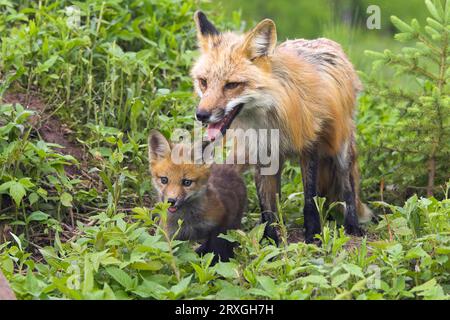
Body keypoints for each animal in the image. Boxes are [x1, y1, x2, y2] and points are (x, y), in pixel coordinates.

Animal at [191, 11, 372, 242]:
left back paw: (352, 225)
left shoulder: (310, 145)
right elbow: (267, 207)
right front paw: (271, 240)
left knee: (347, 187)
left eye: (231, 85)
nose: (201, 115)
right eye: (203, 82)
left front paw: (313, 236)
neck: (268, 121)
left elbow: (310, 199)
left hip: (340, 146)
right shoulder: (261, 154)